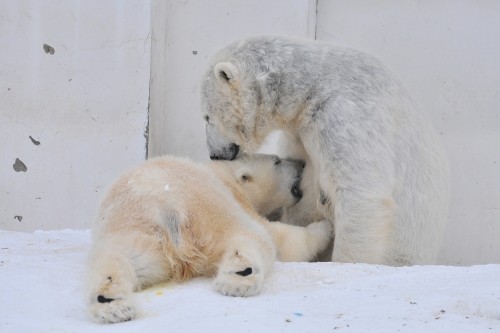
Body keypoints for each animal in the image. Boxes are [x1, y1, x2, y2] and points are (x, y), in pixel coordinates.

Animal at [87, 153, 332, 322]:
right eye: (277, 161)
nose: (301, 162)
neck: (225, 173)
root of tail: (163, 207)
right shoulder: (236, 200)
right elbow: (283, 240)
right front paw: (326, 227)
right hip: (205, 208)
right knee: (252, 237)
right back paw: (238, 279)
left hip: (133, 227)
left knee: (121, 259)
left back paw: (112, 305)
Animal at [201, 35, 452, 264]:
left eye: (206, 116)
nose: (215, 154)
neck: (311, 85)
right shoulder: (300, 132)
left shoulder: (345, 113)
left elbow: (360, 194)